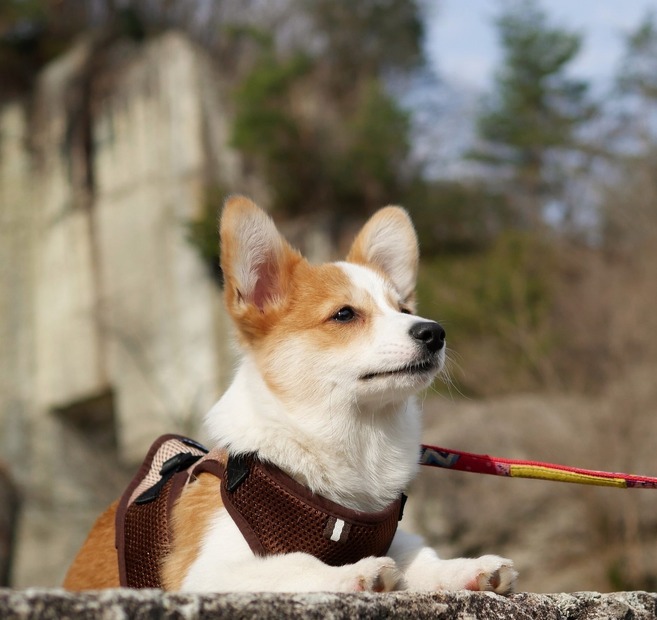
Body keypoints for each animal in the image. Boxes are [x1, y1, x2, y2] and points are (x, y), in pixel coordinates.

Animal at [65, 196, 516, 592]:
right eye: (344, 314)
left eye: (404, 310)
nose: (434, 332)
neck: (357, 440)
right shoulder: (204, 571)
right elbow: (299, 561)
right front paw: (354, 572)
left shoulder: (395, 536)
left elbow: (423, 557)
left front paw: (467, 569)